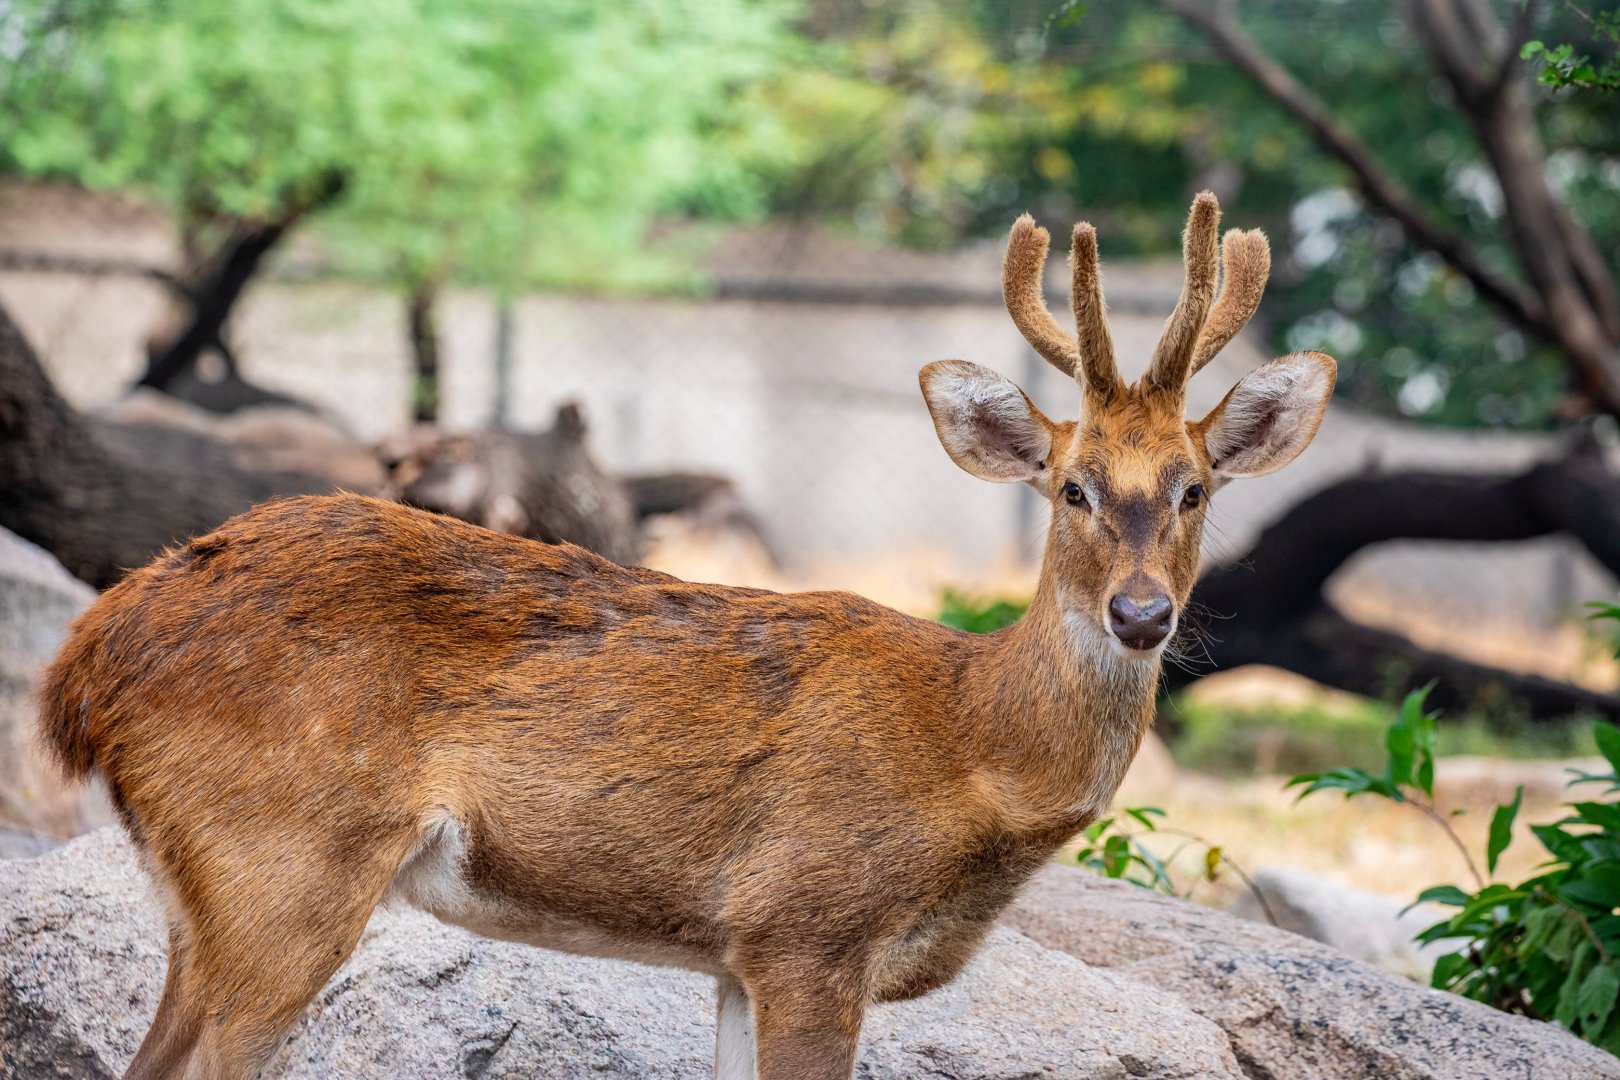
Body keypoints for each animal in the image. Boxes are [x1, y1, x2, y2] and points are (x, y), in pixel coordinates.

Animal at [37, 191, 1333, 1080]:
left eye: (1195, 488)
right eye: (1072, 486)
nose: (1141, 614)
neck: (972, 751)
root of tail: (88, 658)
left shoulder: (736, 951)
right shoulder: (810, 922)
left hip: (204, 890)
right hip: (283, 861)